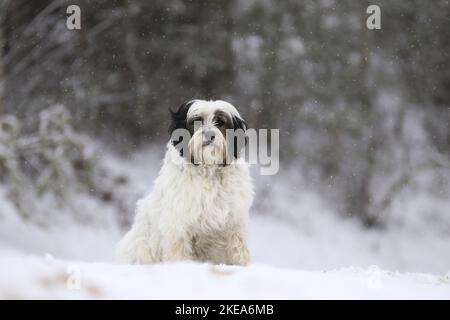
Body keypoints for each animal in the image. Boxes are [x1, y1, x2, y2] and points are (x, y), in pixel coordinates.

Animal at [117, 99, 253, 264]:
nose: (209, 135)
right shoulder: (178, 226)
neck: (208, 170)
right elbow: (178, 252)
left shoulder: (234, 224)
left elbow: (239, 250)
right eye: (196, 121)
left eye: (220, 122)